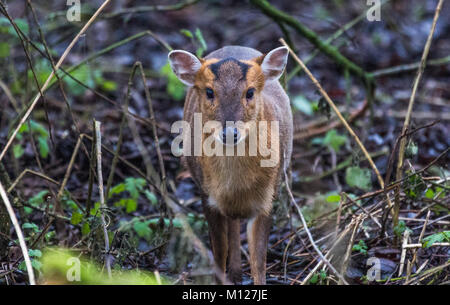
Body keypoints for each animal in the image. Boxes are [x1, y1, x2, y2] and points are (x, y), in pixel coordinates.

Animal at [168, 46, 292, 284]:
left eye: (250, 92)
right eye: (209, 92)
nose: (229, 133)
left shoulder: (268, 198)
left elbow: (258, 260)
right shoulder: (207, 196)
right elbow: (219, 251)